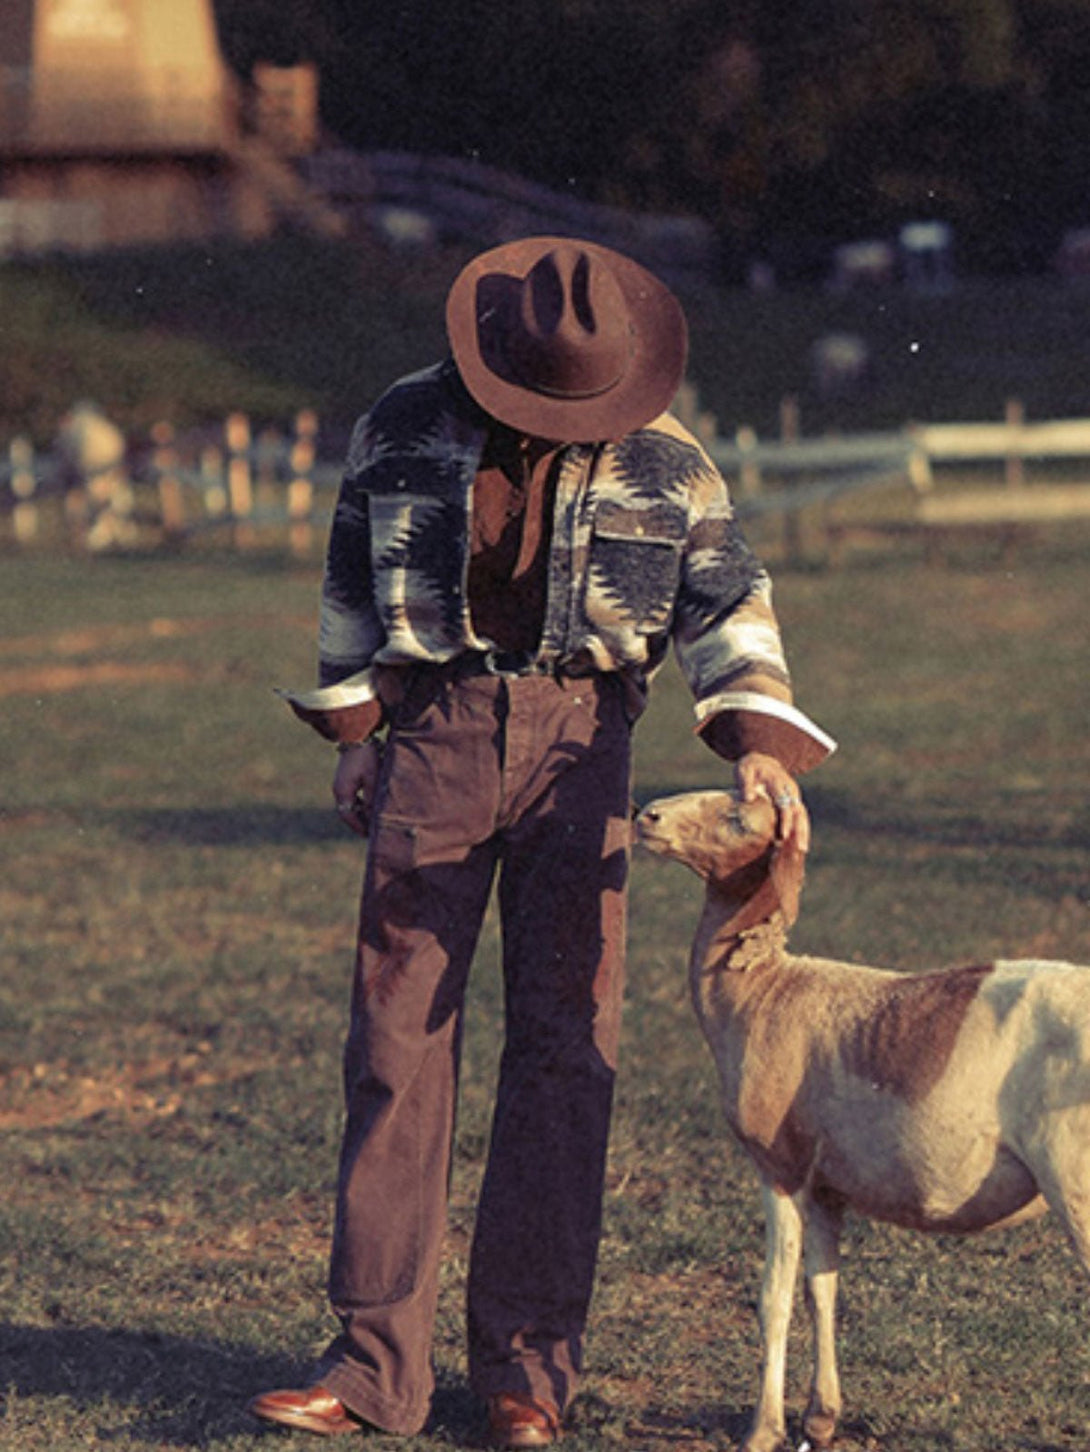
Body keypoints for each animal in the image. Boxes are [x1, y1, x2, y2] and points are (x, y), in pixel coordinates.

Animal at [635, 789, 1085, 1452]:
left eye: (738, 816)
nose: (647, 817)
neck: (766, 988)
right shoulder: (827, 1191)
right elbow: (822, 1290)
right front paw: (820, 1419)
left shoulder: (782, 1171)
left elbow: (774, 1299)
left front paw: (762, 1431)